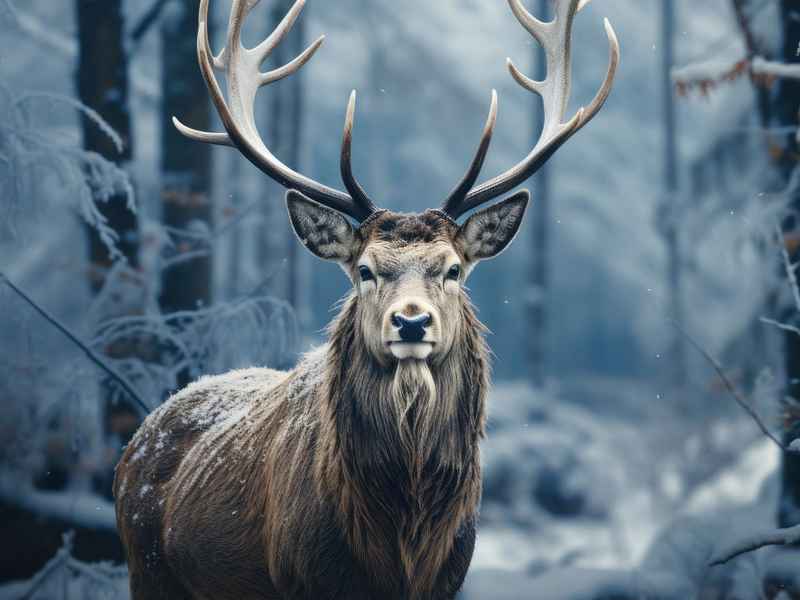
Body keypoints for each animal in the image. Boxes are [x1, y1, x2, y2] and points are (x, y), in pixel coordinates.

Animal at [114, 0, 619, 598]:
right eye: (364, 270)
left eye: (453, 269)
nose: (411, 322)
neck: (400, 540)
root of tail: (135, 443)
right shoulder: (306, 577)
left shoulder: (450, 578)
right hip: (146, 568)